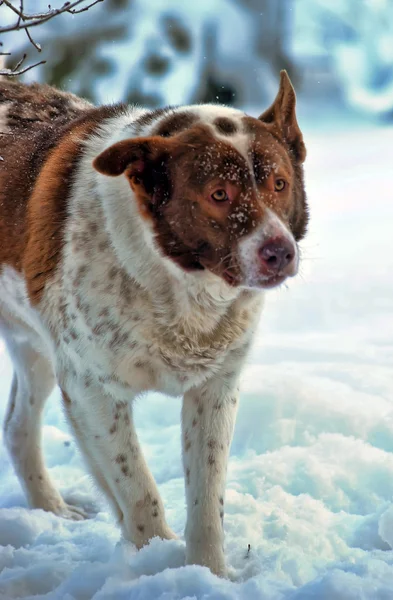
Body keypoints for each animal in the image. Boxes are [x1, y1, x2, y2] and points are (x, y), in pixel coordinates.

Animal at [0, 70, 306, 576]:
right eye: (219, 194)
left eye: (279, 184)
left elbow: (207, 497)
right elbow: (139, 491)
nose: (280, 252)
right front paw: (156, 564)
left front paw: (210, 574)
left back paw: (53, 509)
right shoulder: (90, 390)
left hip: (37, 350)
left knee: (18, 426)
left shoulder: (215, 390)